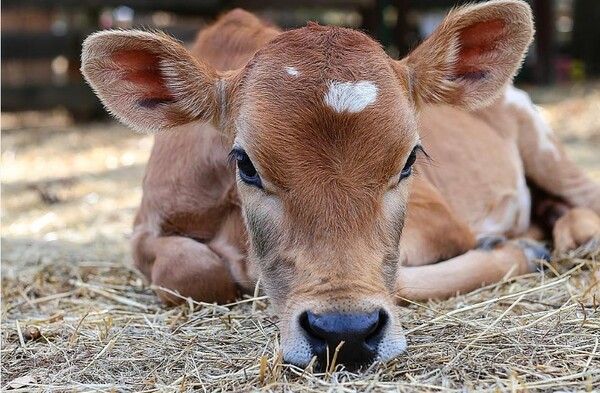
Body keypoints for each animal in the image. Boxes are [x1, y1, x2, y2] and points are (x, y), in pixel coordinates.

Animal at [81, 0, 600, 368]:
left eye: (410, 158)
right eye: (246, 164)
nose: (344, 332)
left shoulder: (442, 219)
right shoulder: (145, 226)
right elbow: (188, 269)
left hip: (546, 147)